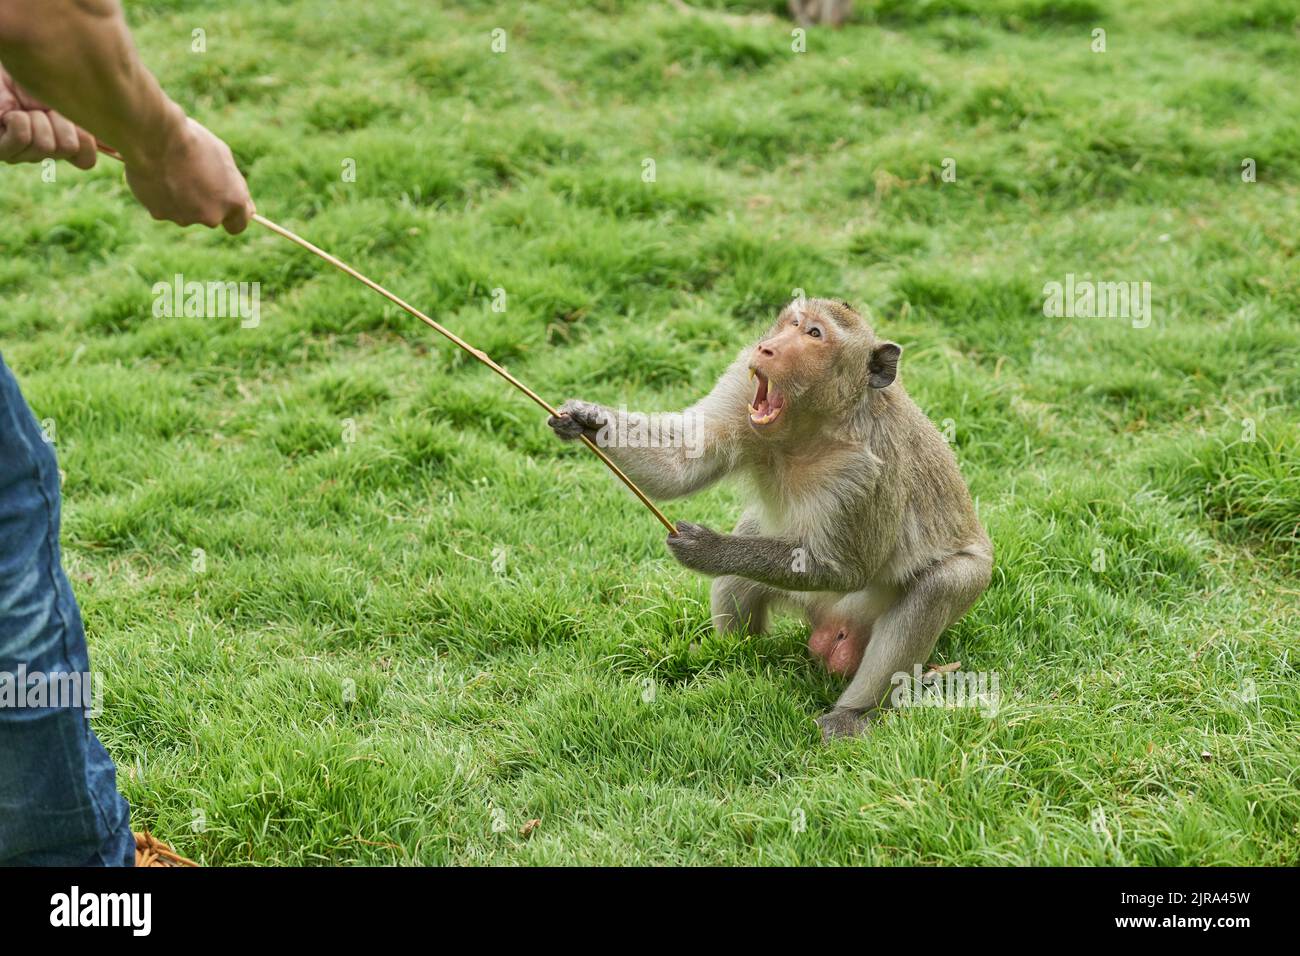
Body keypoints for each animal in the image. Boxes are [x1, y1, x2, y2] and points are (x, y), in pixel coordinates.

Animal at [543, 299, 987, 738]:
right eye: (792, 322)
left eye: (814, 334)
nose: (767, 348)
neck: (813, 423)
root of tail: (832, 625)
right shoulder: (741, 390)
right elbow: (683, 460)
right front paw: (588, 419)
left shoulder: (870, 468)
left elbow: (849, 568)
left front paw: (711, 549)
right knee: (749, 546)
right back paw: (729, 656)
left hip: (959, 586)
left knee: (939, 585)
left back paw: (853, 712)